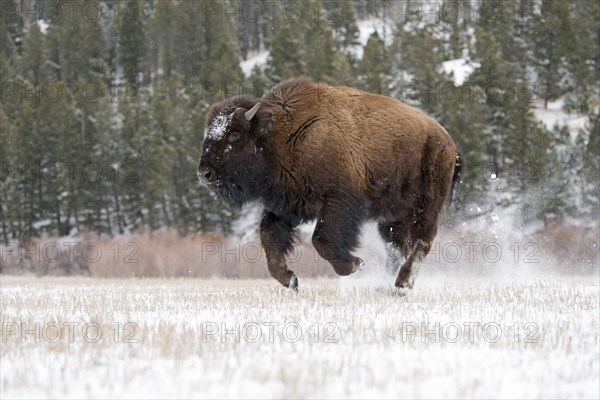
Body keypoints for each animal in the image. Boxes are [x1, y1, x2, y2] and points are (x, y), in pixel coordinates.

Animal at [199, 77, 462, 290]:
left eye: (234, 135)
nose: (205, 173)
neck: (278, 134)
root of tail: (447, 141)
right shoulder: (286, 205)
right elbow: (270, 238)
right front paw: (290, 280)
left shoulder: (337, 201)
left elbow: (321, 239)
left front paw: (355, 264)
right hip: (392, 216)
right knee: (397, 248)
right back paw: (386, 283)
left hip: (426, 206)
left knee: (422, 241)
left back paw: (402, 285)